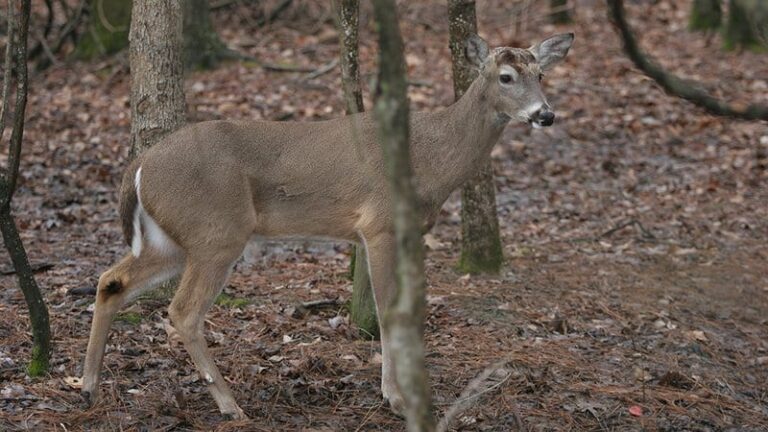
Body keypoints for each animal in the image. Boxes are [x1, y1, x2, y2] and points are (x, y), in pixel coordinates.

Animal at [81, 33, 574, 420]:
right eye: (506, 77)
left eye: (541, 75)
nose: (545, 114)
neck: (430, 158)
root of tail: (140, 164)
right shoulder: (378, 224)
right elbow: (388, 310)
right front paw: (396, 398)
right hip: (216, 231)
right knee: (182, 311)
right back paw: (229, 404)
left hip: (170, 238)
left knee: (111, 280)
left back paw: (87, 385)